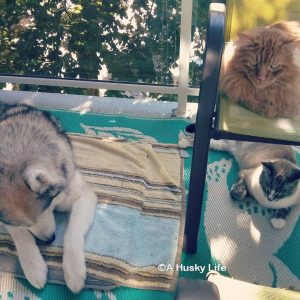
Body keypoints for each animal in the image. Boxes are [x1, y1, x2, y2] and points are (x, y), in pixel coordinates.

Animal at [0, 102, 96, 292]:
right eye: (24, 224)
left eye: (47, 209)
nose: (49, 240)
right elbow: (20, 234)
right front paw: (33, 266)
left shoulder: (83, 195)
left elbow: (71, 233)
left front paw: (74, 272)